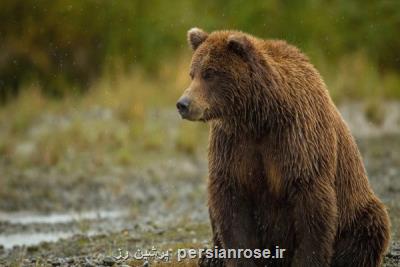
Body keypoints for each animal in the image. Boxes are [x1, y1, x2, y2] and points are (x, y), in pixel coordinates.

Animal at [177, 27, 390, 267]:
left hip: (356, 209)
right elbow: (230, 201)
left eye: (210, 73)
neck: (259, 117)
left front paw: (307, 260)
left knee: (369, 227)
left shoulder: (298, 140)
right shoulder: (233, 144)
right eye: (192, 73)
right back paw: (211, 257)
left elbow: (311, 203)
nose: (183, 104)